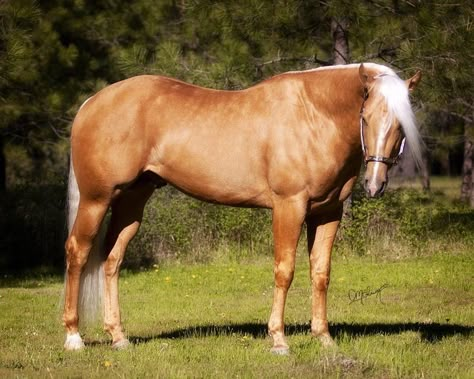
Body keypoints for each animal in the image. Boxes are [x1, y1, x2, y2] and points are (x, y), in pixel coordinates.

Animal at [62, 62, 422, 354]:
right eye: (365, 116)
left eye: (401, 125)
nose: (374, 184)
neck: (314, 115)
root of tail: (92, 103)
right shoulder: (289, 206)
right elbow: (284, 270)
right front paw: (278, 340)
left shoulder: (327, 212)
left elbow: (321, 273)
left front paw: (324, 338)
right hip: (97, 200)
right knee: (77, 252)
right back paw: (74, 337)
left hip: (133, 200)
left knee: (112, 259)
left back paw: (118, 337)